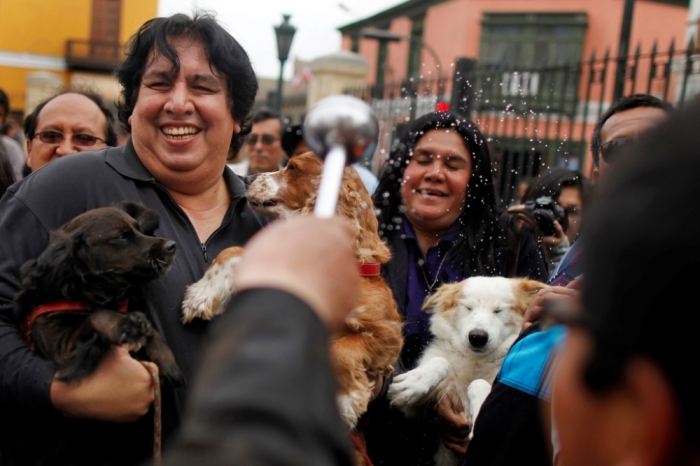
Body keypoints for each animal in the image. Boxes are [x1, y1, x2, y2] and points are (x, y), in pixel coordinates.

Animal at [15, 201, 183, 386]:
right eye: (122, 236)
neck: (91, 293)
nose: (172, 246)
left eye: (139, 228)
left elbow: (151, 330)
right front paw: (124, 324)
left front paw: (165, 359)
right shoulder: (62, 349)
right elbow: (98, 315)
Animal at [180, 154, 404, 440]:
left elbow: (340, 349)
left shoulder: (386, 336)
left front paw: (343, 402)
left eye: (294, 167)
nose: (247, 179)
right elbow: (234, 250)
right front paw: (201, 295)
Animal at [388, 276, 548, 466]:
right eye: (468, 307)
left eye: (498, 310)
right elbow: (441, 362)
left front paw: (478, 414)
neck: (475, 362)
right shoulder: (412, 409)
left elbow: (480, 383)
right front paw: (414, 382)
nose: (477, 337)